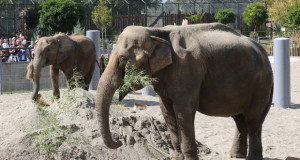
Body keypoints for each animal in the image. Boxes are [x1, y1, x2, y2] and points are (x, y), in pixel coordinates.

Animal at [95, 22, 274, 160]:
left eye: (124, 59)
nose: (119, 141)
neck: (156, 32)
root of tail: (264, 52)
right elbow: (167, 110)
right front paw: (176, 157)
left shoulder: (187, 69)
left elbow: (183, 109)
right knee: (240, 119)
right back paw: (235, 155)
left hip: (261, 84)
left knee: (253, 119)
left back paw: (251, 157)